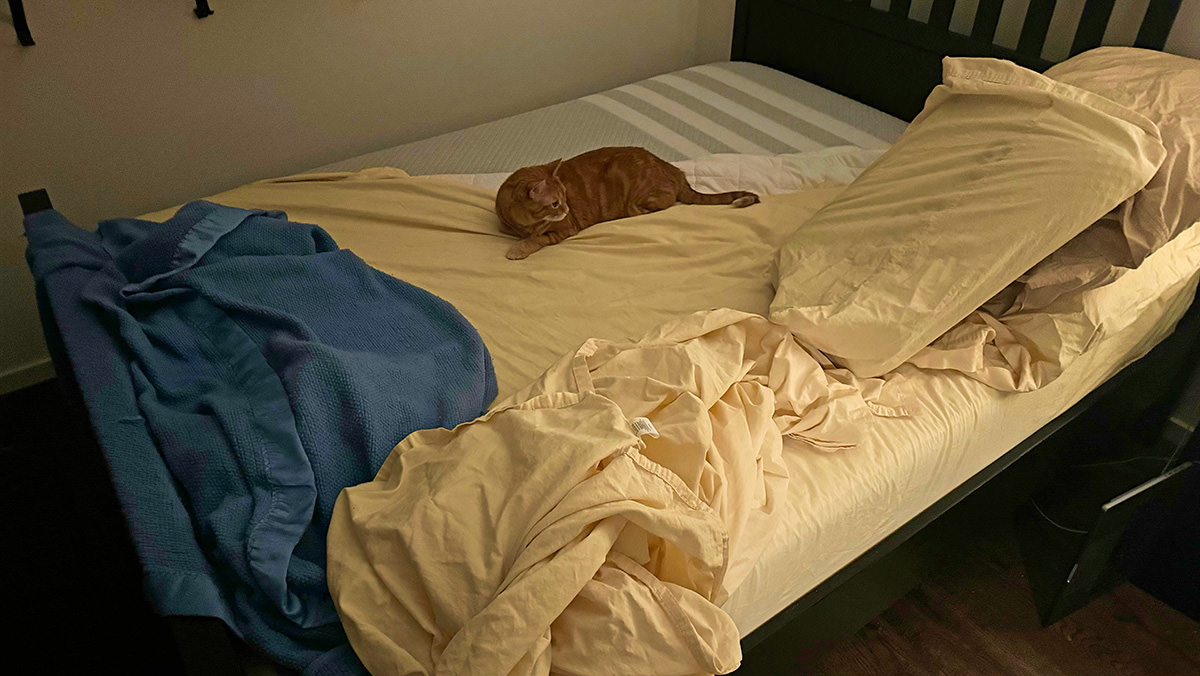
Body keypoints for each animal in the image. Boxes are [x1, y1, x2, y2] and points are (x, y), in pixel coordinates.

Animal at [496, 145, 758, 259]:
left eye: (565, 196)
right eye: (555, 203)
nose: (567, 208)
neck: (524, 223)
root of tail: (676, 171)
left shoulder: (566, 229)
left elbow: (538, 239)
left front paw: (519, 248)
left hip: (635, 202)